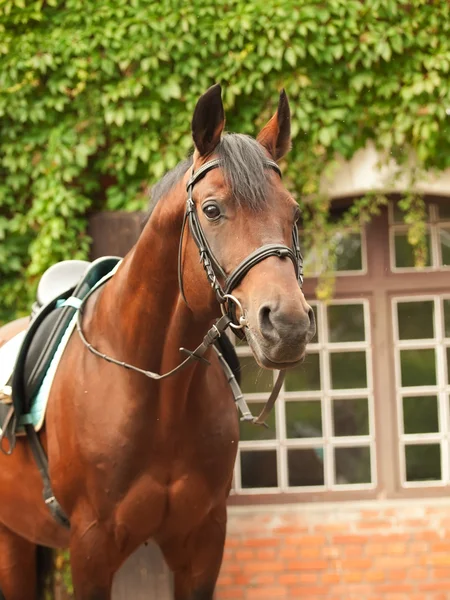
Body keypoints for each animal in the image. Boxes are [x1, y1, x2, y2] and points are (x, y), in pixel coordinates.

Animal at [0, 85, 314, 600]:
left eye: (295, 212)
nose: (287, 324)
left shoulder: (202, 541)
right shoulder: (91, 547)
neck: (153, 387)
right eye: (212, 209)